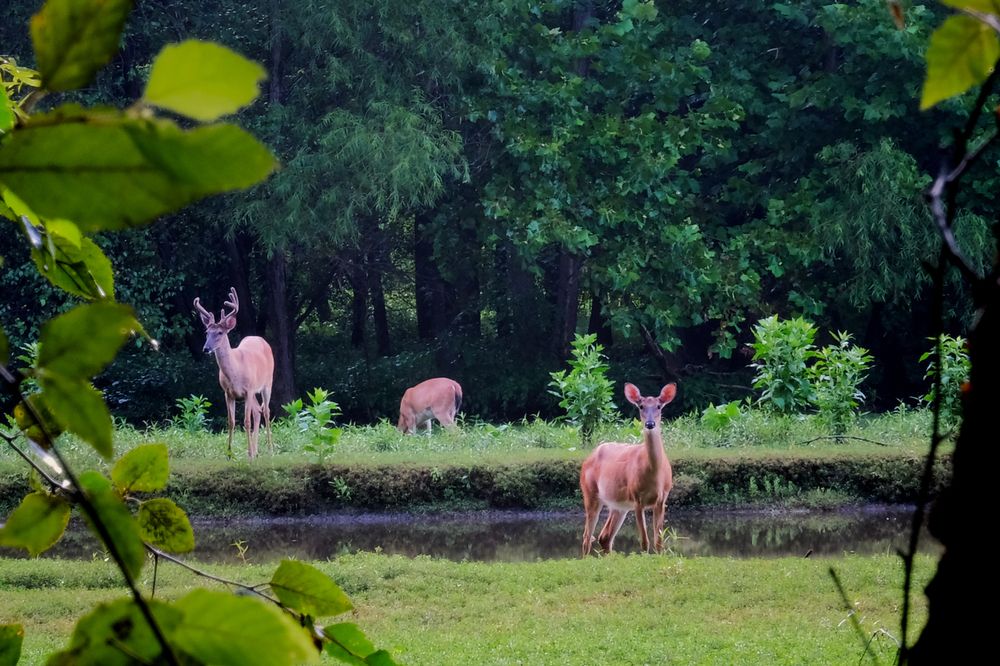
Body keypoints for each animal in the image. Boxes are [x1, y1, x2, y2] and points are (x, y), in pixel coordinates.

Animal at [193, 287, 274, 460]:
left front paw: (249, 454)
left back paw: (269, 449)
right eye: (206, 332)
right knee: (257, 412)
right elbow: (231, 422)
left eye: (220, 333)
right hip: (253, 392)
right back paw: (257, 451)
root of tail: (260, 339)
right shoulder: (228, 392)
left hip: (267, 383)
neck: (235, 372)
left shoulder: (248, 390)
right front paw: (230, 454)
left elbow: (246, 422)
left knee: (266, 411)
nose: (206, 348)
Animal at [580, 382, 677, 556]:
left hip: (618, 505)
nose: (650, 424)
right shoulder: (637, 498)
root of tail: (588, 458)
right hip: (590, 493)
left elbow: (659, 542)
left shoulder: (662, 499)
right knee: (586, 537)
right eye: (641, 406)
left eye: (659, 406)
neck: (654, 474)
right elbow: (645, 542)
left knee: (604, 536)